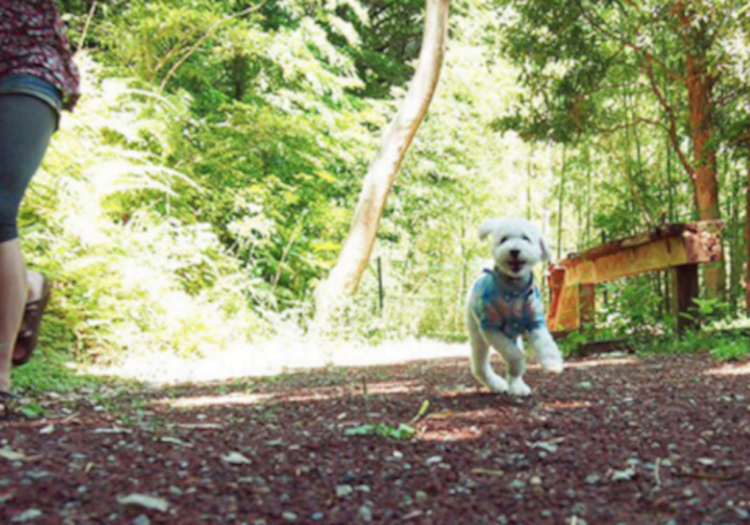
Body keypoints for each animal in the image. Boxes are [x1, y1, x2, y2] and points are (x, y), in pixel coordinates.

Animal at [468, 216, 568, 392]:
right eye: (504, 239)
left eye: (525, 238)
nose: (514, 250)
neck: (514, 289)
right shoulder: (490, 328)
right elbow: (513, 355)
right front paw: (519, 363)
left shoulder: (535, 321)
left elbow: (546, 343)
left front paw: (553, 363)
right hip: (477, 332)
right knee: (480, 366)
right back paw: (498, 384)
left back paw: (517, 385)